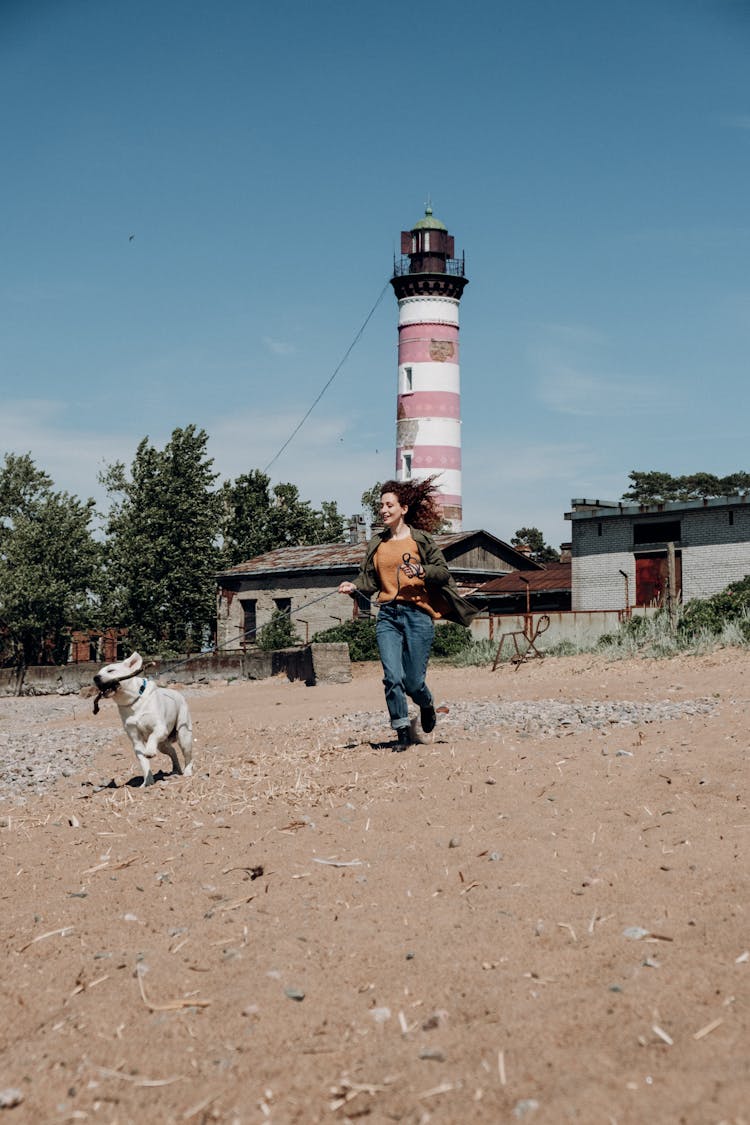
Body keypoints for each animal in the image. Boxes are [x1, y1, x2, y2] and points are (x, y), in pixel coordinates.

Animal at [91, 657, 193, 787]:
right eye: (98, 673)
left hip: (184, 735)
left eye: (111, 670)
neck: (134, 701)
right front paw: (147, 782)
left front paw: (149, 751)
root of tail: (178, 694)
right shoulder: (136, 740)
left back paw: (188, 772)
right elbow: (144, 762)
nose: (95, 678)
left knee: (188, 755)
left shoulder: (160, 728)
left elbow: (152, 737)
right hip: (162, 745)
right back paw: (176, 770)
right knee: (173, 752)